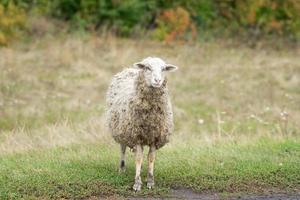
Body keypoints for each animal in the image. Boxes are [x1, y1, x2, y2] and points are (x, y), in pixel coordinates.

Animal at [105, 56, 177, 191]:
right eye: (147, 68)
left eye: (163, 69)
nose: (158, 80)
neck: (150, 117)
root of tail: (129, 69)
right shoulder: (136, 136)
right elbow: (138, 158)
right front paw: (137, 183)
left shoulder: (155, 137)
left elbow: (151, 158)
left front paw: (150, 181)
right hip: (122, 130)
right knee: (122, 149)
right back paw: (122, 168)